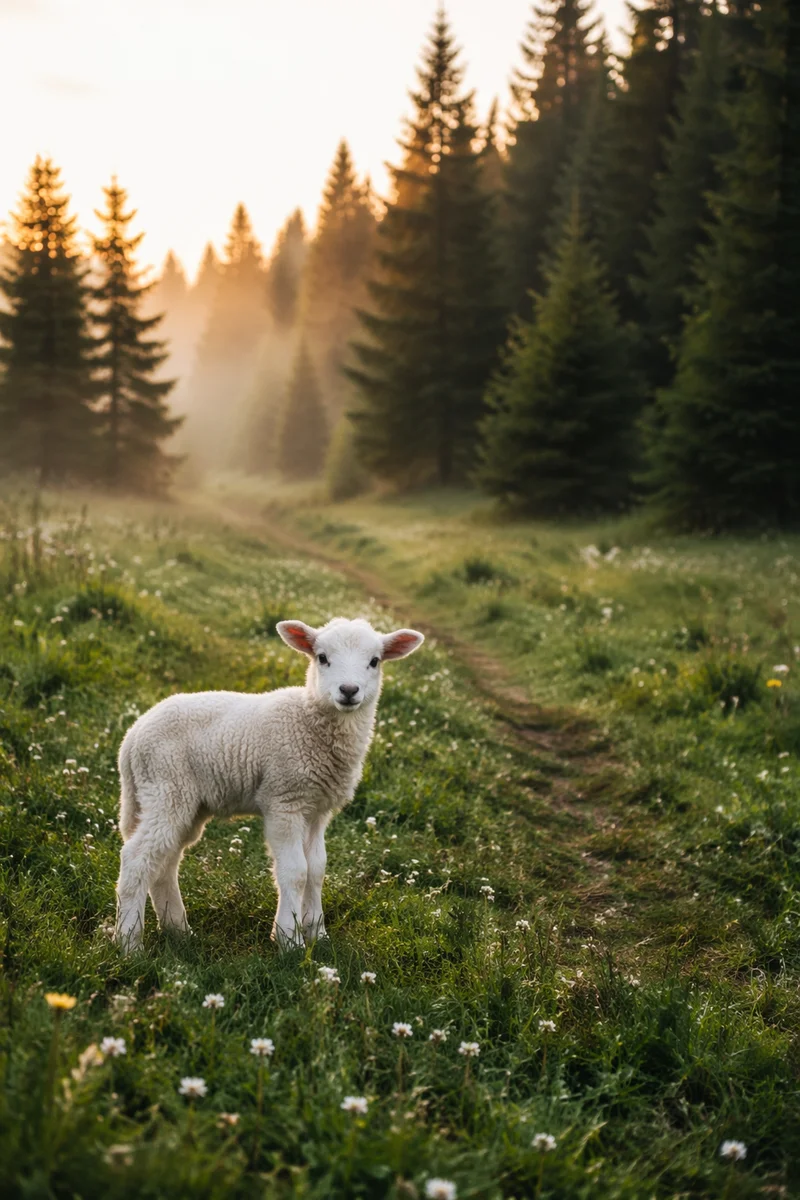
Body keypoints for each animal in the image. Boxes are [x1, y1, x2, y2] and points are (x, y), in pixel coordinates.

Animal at [114, 616, 424, 951]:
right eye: (322, 658)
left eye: (375, 661)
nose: (349, 690)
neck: (309, 721)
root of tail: (132, 737)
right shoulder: (284, 801)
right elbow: (296, 871)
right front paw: (290, 940)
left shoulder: (317, 809)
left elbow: (317, 869)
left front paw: (317, 933)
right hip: (166, 787)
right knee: (137, 858)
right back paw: (129, 944)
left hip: (183, 802)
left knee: (165, 862)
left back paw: (177, 929)